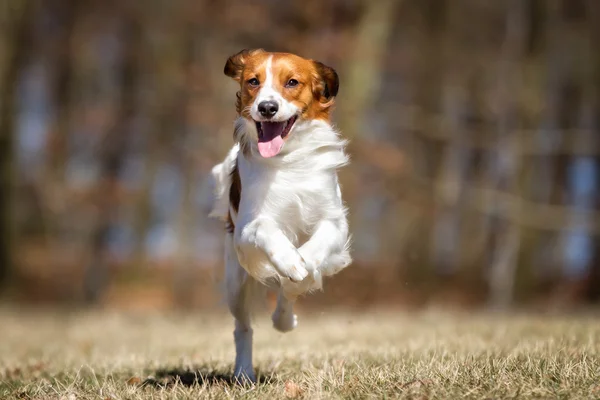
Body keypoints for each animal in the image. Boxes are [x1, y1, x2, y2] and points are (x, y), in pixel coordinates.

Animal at [210, 48, 352, 382]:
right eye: (253, 81)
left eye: (292, 82)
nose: (267, 107)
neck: (288, 160)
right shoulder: (246, 231)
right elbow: (265, 229)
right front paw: (291, 262)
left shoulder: (334, 220)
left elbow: (317, 248)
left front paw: (304, 268)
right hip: (235, 282)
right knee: (243, 328)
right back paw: (244, 372)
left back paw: (286, 316)